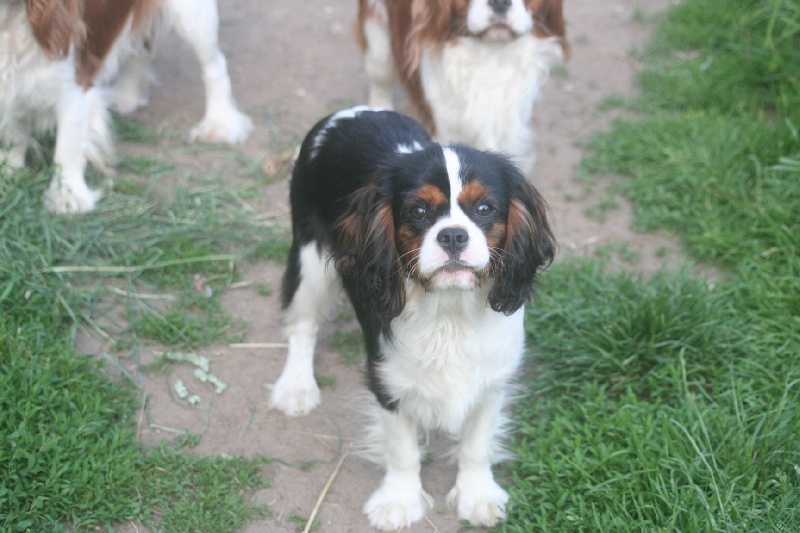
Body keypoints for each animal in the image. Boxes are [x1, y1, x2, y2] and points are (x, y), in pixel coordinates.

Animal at [0, 0, 250, 212]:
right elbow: (15, 131)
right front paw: (9, 168)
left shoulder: (74, 86)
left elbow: (67, 149)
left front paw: (68, 197)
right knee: (141, 45)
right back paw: (127, 96)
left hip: (194, 18)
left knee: (214, 66)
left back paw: (219, 123)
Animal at [272, 106, 552, 528]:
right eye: (418, 211)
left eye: (484, 208)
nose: (452, 235)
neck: (450, 310)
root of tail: (349, 112)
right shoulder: (389, 380)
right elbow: (402, 449)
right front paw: (399, 502)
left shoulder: (492, 381)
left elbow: (477, 443)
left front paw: (477, 495)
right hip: (309, 257)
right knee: (303, 325)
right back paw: (296, 388)